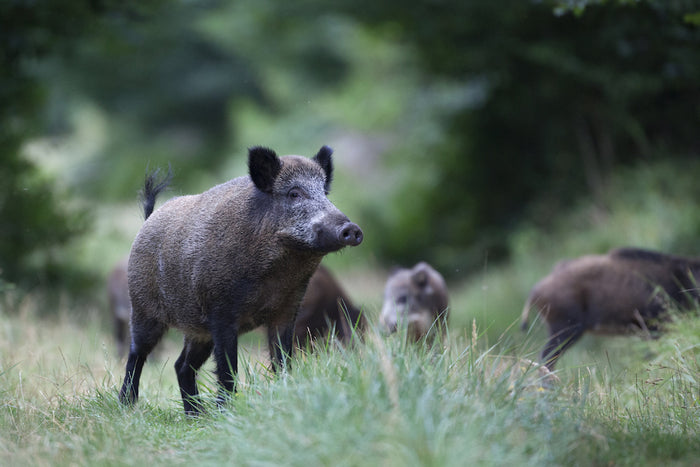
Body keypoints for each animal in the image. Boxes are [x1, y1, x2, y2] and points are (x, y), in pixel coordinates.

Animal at [120, 144, 364, 414]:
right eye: (294, 193)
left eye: (324, 192)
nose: (352, 229)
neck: (279, 272)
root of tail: (148, 220)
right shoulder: (222, 313)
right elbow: (228, 367)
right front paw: (227, 411)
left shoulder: (288, 308)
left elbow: (282, 359)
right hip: (143, 307)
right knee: (137, 353)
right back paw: (127, 405)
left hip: (198, 331)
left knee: (181, 365)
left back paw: (195, 415)